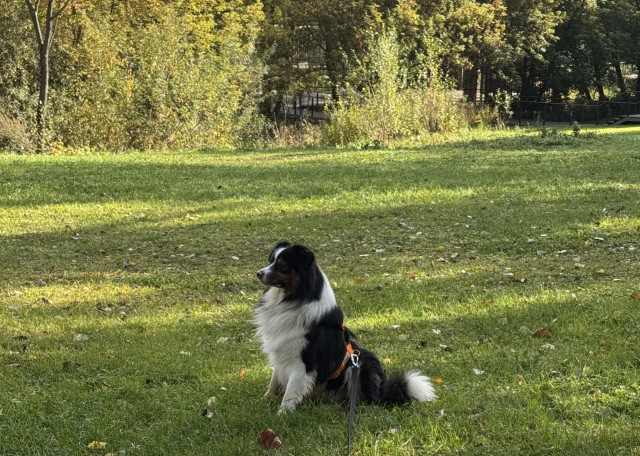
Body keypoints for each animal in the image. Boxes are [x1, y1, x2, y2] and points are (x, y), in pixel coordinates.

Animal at [254, 242, 437, 414]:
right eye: (271, 261)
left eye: (282, 265)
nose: (258, 273)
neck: (295, 297)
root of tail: (382, 391)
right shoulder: (281, 351)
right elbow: (274, 380)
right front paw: (264, 400)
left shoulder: (304, 360)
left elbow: (291, 392)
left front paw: (282, 413)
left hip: (361, 364)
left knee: (368, 400)